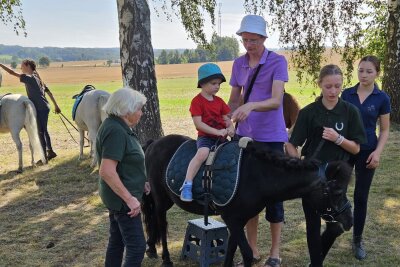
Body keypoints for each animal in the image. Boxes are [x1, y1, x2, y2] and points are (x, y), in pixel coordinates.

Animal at [141, 136, 354, 267]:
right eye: (337, 192)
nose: (349, 220)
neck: (257, 175)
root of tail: (154, 143)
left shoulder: (237, 222)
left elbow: (231, 251)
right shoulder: (232, 219)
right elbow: (247, 254)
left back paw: (151, 248)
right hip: (161, 199)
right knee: (160, 222)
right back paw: (165, 259)